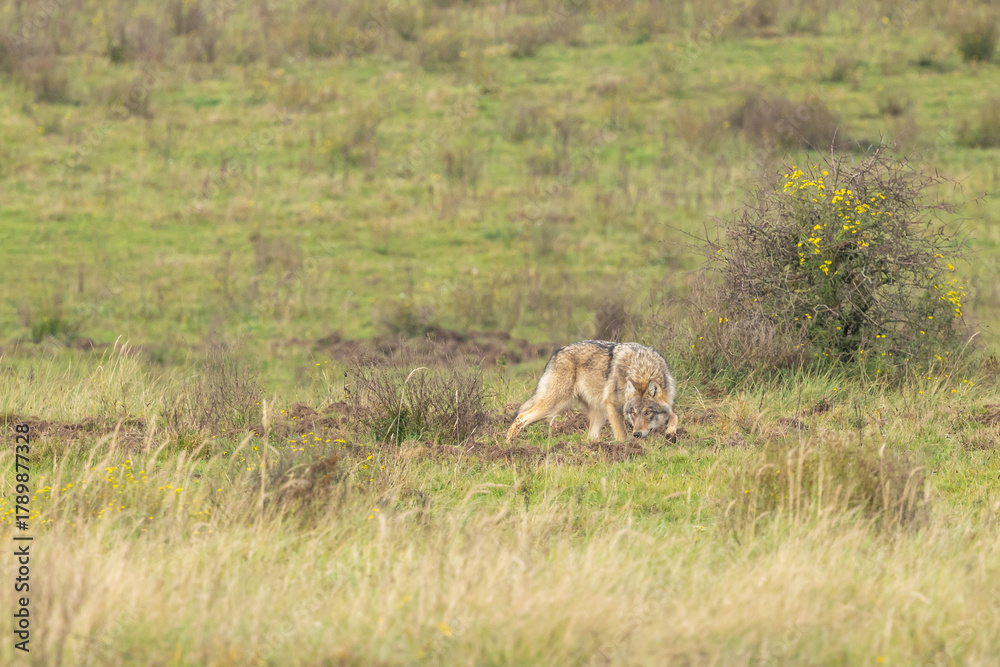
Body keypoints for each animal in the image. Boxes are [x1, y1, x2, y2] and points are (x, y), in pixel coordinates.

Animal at [505, 340, 678, 442]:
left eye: (648, 412)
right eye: (633, 413)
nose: (636, 434)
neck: (642, 369)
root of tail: (558, 352)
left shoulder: (668, 402)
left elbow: (674, 415)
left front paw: (670, 433)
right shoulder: (612, 405)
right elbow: (621, 435)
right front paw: (625, 450)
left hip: (596, 412)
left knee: (590, 437)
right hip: (555, 406)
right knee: (520, 416)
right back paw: (508, 445)